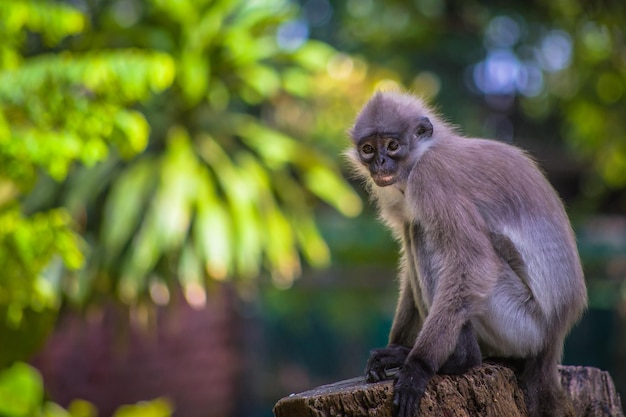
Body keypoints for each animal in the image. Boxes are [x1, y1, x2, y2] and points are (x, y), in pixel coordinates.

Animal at [346, 91, 584, 416]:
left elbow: (475, 262)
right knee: (413, 227)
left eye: (393, 146)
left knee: (422, 233)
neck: (427, 152)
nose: (380, 162)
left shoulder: (430, 178)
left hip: (518, 324)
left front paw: (417, 365)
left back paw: (462, 357)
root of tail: (554, 335)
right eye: (368, 149)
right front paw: (395, 349)